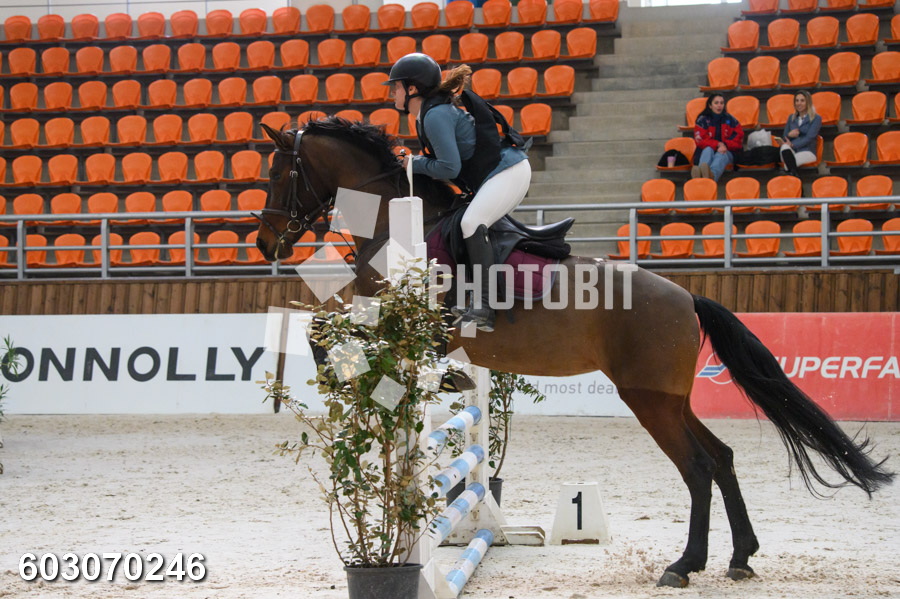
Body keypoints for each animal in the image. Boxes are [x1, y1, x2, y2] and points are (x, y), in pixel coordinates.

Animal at [253, 117, 893, 588]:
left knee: (698, 467)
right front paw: (433, 383)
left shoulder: (401, 321)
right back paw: (740, 557)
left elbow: (323, 331)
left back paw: (683, 566)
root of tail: (687, 295)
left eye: (281, 171)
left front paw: (345, 381)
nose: (264, 242)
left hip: (647, 399)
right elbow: (325, 328)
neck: (395, 224)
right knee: (724, 457)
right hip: (669, 398)